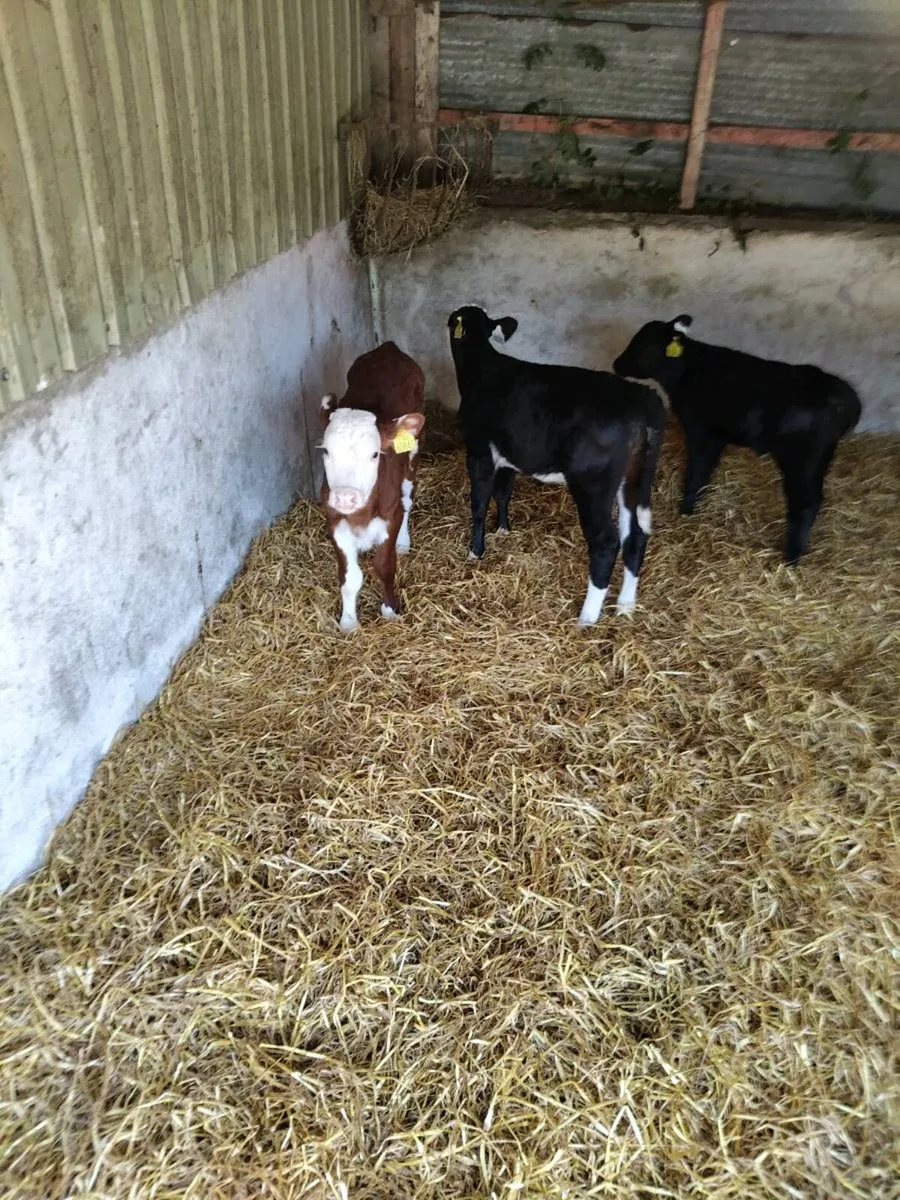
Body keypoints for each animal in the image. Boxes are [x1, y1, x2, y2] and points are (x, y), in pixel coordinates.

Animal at [320, 342, 425, 631]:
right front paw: (348, 621)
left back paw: (404, 542)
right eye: (326, 451)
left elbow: (384, 566)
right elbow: (349, 577)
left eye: (375, 454)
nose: (345, 497)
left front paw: (390, 609)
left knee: (408, 498)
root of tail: (388, 348)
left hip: (413, 453)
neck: (361, 516)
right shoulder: (335, 522)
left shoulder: (391, 517)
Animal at [447, 305, 666, 626]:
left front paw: (476, 551)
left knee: (606, 542)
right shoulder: (509, 456)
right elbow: (503, 493)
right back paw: (625, 606)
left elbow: (478, 503)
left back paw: (587, 618)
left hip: (592, 483)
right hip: (634, 479)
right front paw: (503, 530)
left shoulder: (478, 451)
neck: (482, 367)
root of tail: (643, 398)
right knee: (635, 536)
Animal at [612, 315, 862, 564]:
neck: (689, 370)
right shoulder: (717, 436)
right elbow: (706, 470)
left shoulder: (700, 431)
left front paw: (686, 509)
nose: (616, 364)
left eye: (646, 347)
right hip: (821, 456)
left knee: (805, 503)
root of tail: (847, 398)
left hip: (801, 459)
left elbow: (696, 470)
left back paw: (791, 557)